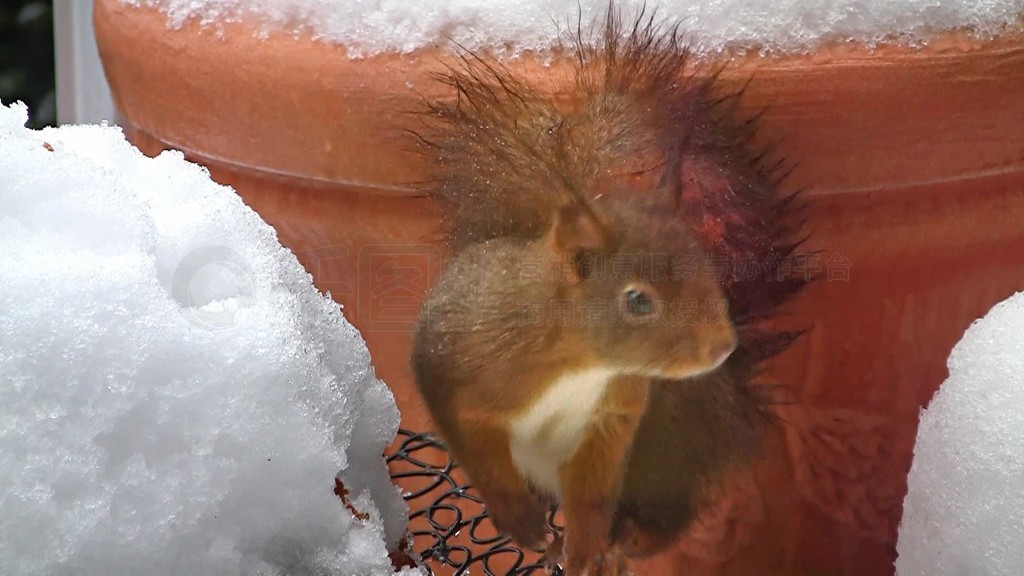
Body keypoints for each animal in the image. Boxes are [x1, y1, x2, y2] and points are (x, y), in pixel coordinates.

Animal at [407, 3, 806, 569]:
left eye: (706, 267)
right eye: (637, 300)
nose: (721, 347)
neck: (578, 363)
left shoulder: (613, 418)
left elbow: (592, 493)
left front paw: (586, 549)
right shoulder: (457, 375)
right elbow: (477, 452)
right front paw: (521, 521)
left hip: (666, 441)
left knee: (670, 509)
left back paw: (633, 537)